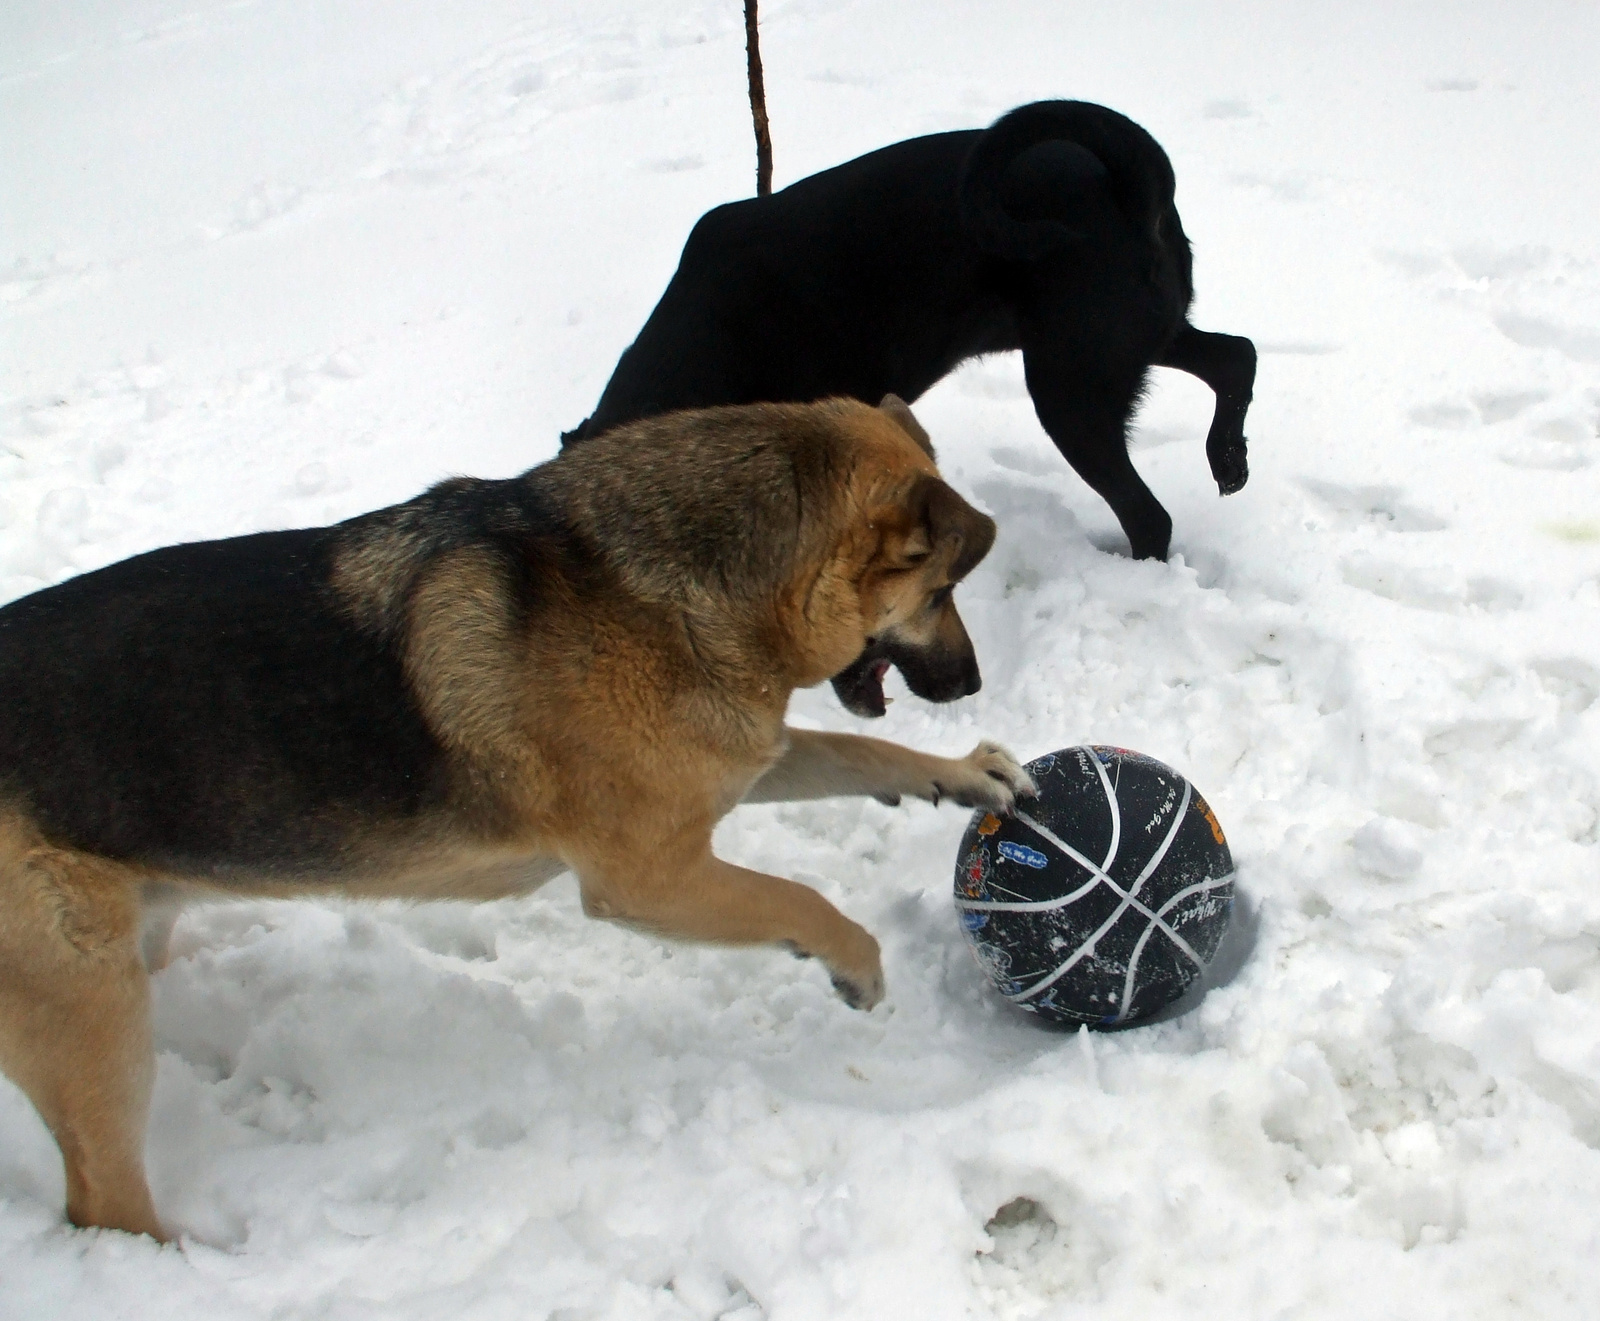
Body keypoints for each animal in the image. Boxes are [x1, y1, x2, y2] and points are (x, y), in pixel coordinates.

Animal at [569, 100, 1254, 559]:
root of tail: (1127, 184)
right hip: (1128, 343)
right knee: (1235, 356)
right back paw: (1227, 461)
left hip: (1072, 387)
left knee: (1150, 517)